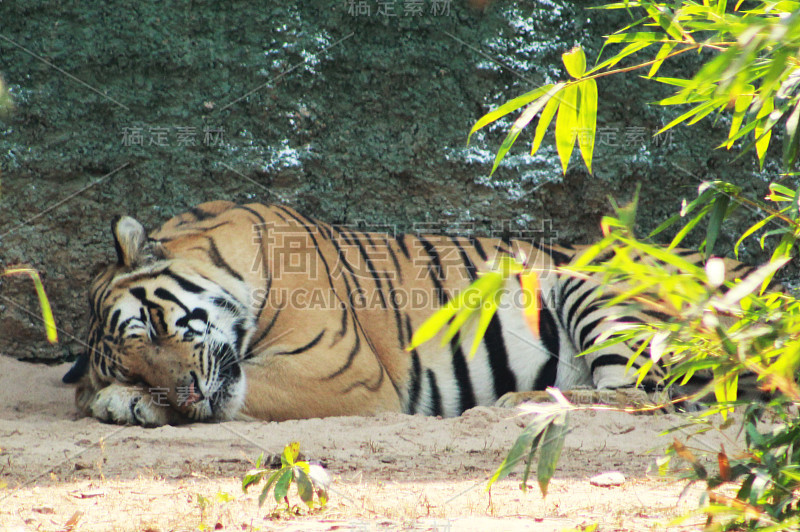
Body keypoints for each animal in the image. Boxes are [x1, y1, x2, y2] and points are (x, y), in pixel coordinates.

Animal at [62, 202, 752, 426]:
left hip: (599, 289)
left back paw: (517, 403)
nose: (186, 393)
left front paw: (125, 405)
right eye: (134, 365)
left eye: (156, 328)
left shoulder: (341, 376)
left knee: (650, 398)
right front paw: (123, 400)